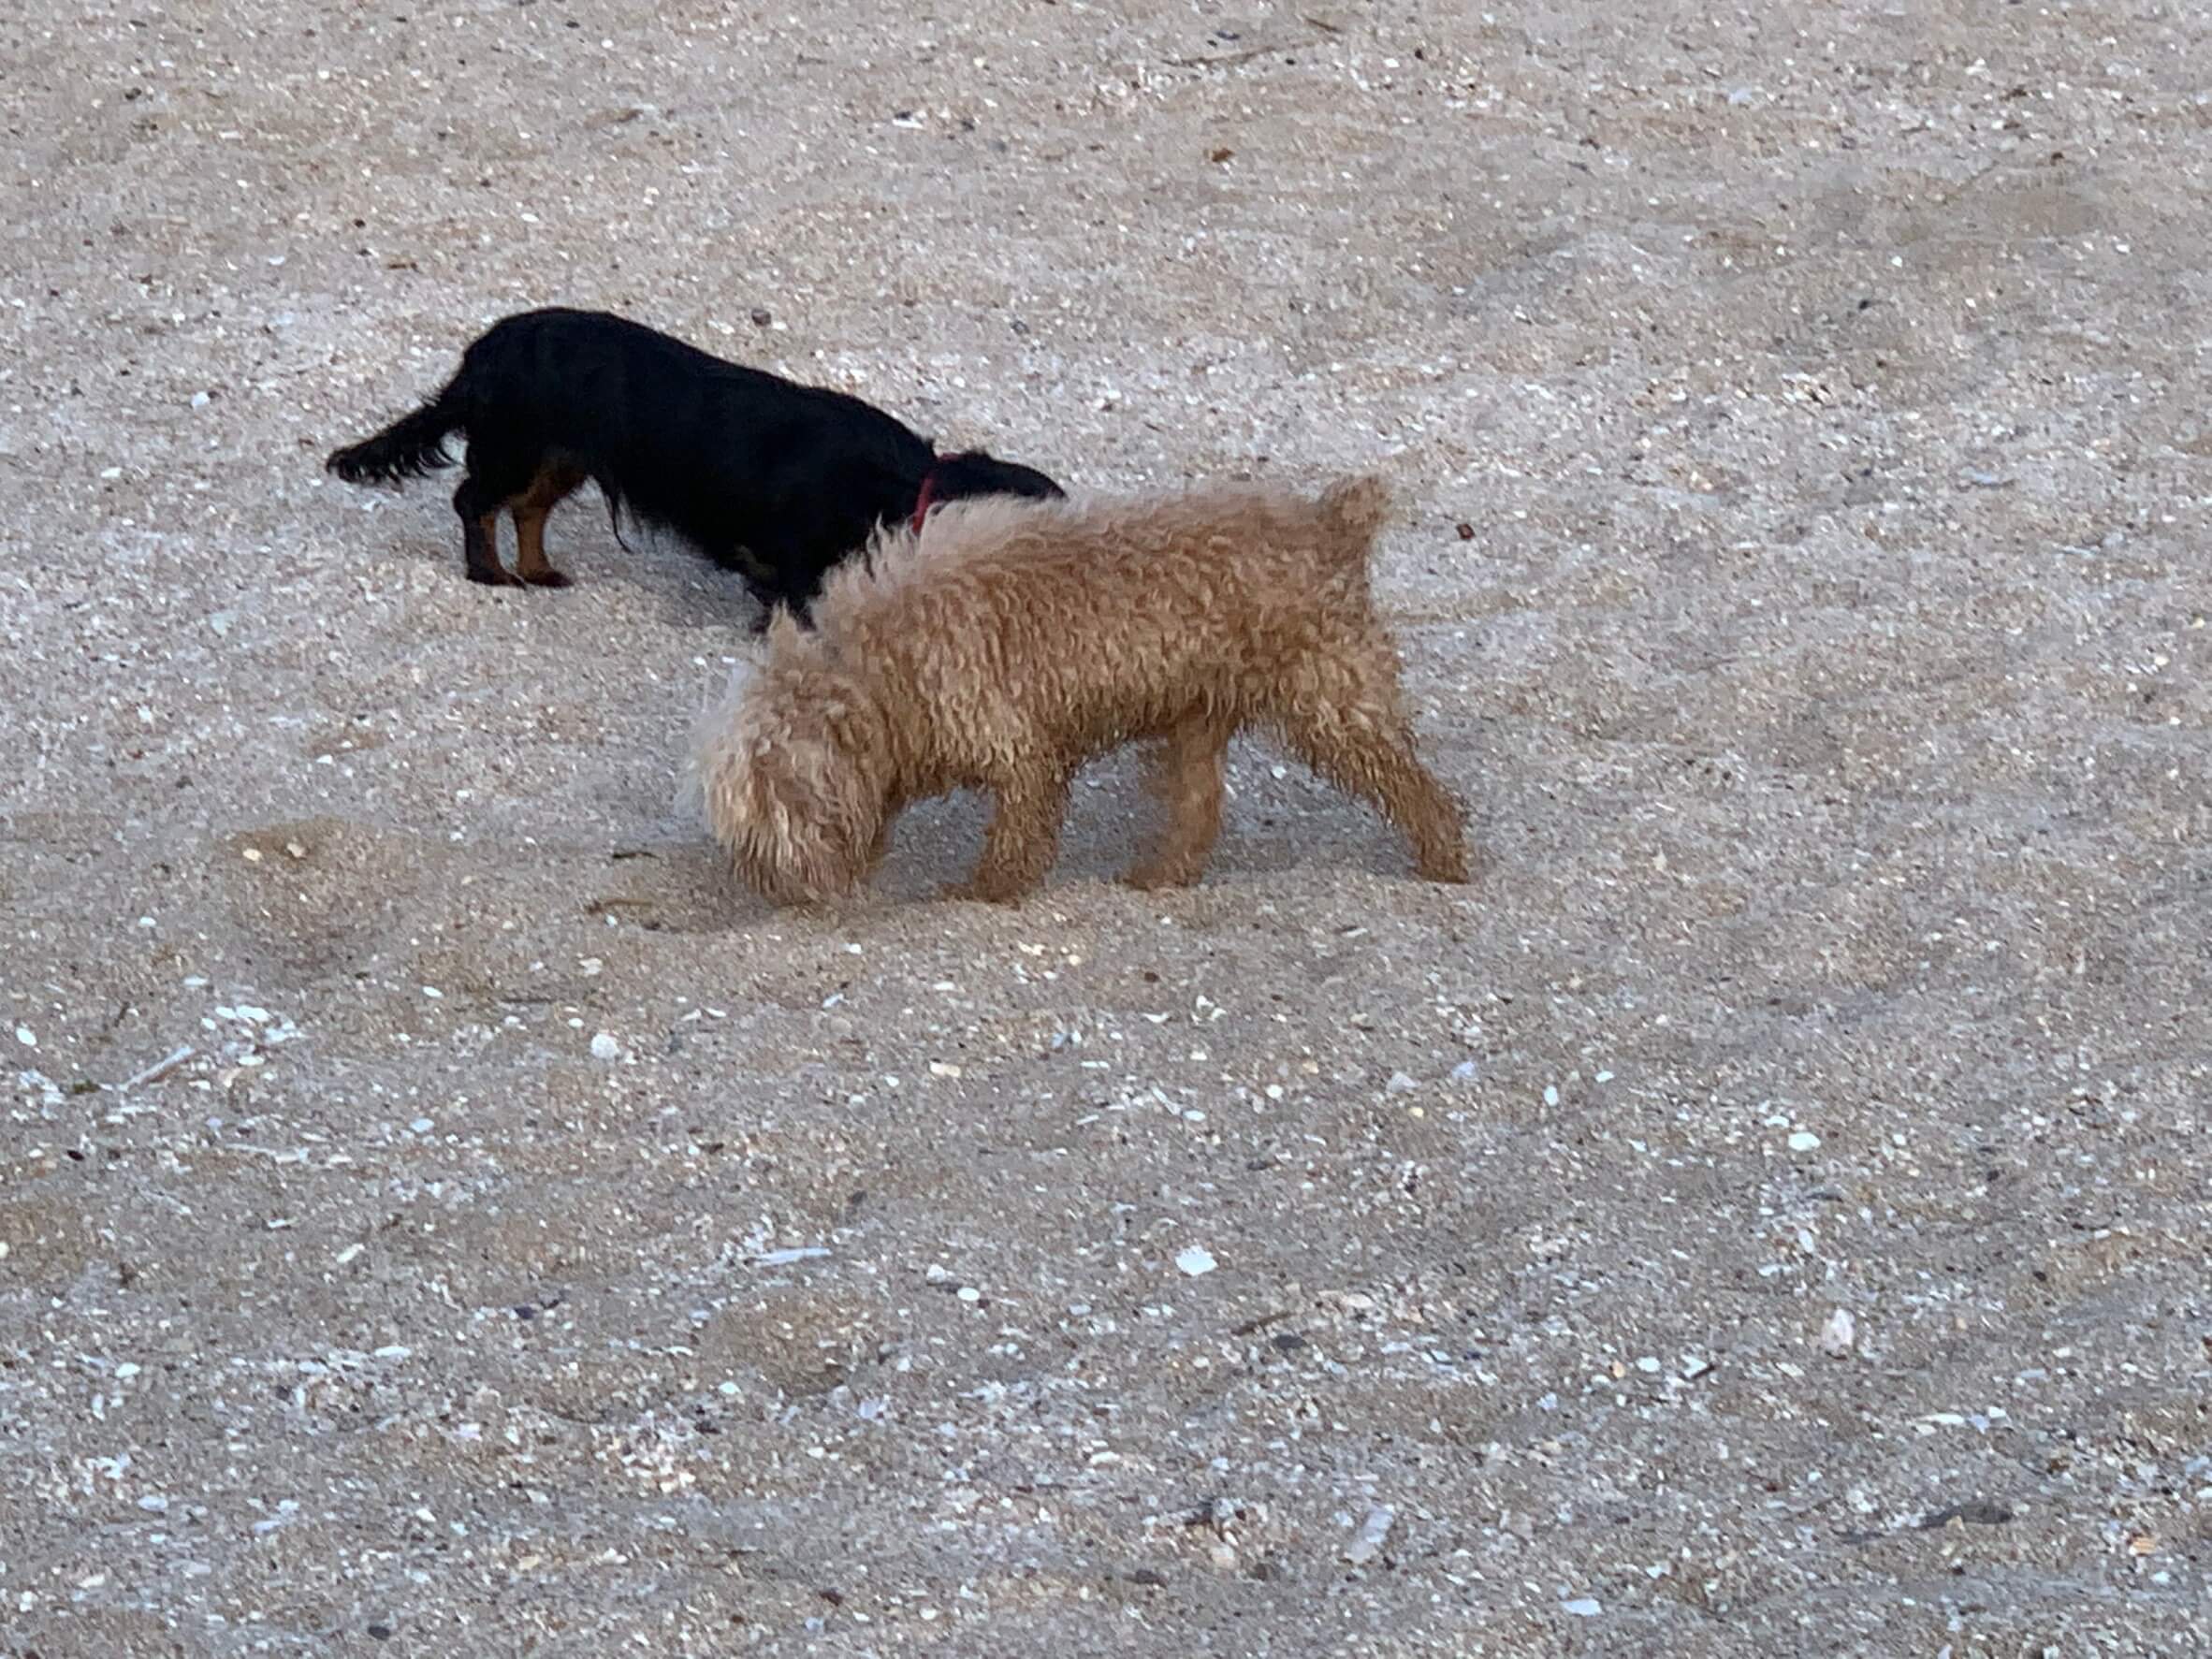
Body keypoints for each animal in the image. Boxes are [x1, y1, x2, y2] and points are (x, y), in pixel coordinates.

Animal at [318, 307, 1061, 623]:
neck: (901, 488)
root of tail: (482, 353)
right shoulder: (800, 567)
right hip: (517, 448)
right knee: (474, 502)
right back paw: (491, 574)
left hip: (560, 460)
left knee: (526, 510)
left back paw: (538, 570)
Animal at [694, 469, 1468, 910]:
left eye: (771, 818)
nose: (774, 890)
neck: (876, 672)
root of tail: (1332, 521)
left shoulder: (1021, 753)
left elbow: (1015, 837)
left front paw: (984, 892)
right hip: (1195, 721)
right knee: (1197, 809)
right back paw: (1159, 875)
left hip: (1335, 704)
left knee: (1416, 786)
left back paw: (1445, 857)